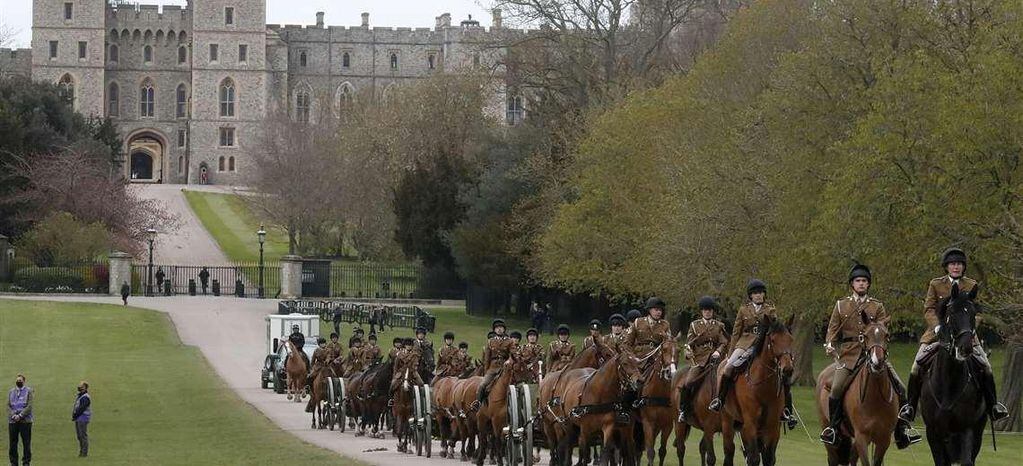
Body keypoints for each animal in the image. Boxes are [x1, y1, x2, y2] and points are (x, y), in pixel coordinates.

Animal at [716, 316, 793, 466]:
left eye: (791, 339)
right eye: (773, 340)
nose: (788, 369)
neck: (763, 386)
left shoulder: (773, 425)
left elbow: (769, 458)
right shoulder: (750, 423)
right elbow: (754, 458)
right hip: (728, 422)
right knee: (729, 452)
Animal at [814, 322, 896, 466]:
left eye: (887, 335)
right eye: (865, 336)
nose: (877, 362)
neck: (875, 399)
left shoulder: (884, 439)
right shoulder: (861, 437)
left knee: (852, 457)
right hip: (828, 430)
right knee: (833, 458)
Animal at [920, 284, 990, 466]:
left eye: (973, 313)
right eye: (951, 313)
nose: (965, 348)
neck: (949, 381)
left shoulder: (966, 428)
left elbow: (966, 461)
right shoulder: (933, 432)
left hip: (977, 431)